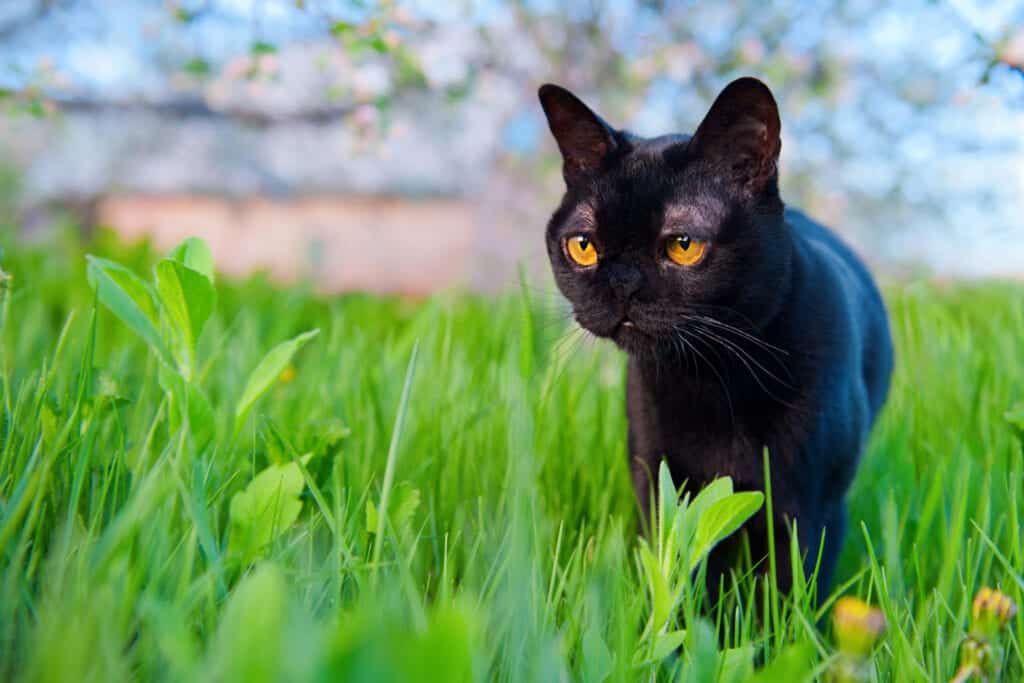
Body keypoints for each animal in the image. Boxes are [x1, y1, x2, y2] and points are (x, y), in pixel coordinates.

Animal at [540, 77, 892, 593]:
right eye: (583, 246)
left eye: (683, 245)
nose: (622, 283)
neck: (711, 380)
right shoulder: (660, 488)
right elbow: (678, 575)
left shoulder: (808, 510)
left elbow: (788, 594)